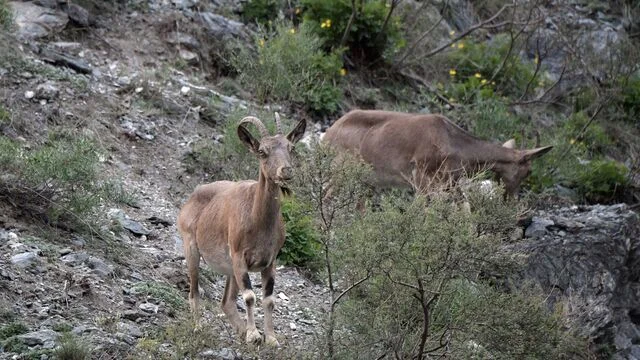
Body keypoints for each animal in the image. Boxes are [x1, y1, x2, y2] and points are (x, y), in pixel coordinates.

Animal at [175, 114, 304, 344]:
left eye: (291, 147)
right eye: (262, 151)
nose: (286, 171)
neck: (257, 221)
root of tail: (192, 196)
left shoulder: (270, 261)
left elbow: (268, 299)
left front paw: (270, 338)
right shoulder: (239, 256)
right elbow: (250, 296)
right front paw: (253, 335)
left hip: (230, 270)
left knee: (226, 301)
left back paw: (242, 331)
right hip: (192, 249)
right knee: (194, 291)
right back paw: (199, 328)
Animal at [322, 109, 552, 197]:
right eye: (528, 171)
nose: (511, 198)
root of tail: (329, 134)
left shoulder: (450, 184)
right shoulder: (422, 179)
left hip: (363, 181)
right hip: (341, 170)